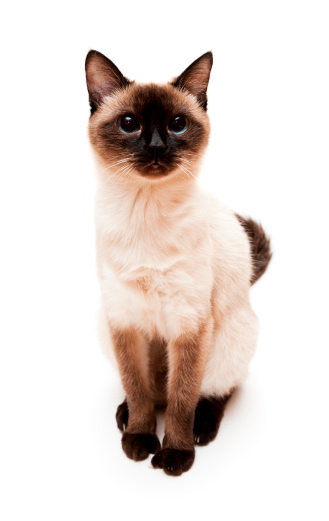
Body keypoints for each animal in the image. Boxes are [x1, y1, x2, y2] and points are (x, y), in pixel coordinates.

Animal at [85, 50, 272, 478]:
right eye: (129, 124)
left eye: (177, 124)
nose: (156, 147)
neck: (145, 210)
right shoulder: (123, 319)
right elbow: (137, 386)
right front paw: (139, 439)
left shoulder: (190, 324)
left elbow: (182, 397)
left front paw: (175, 454)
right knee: (152, 391)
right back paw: (125, 416)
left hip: (226, 340)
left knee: (216, 388)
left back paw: (202, 428)